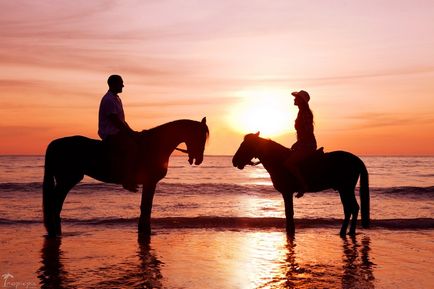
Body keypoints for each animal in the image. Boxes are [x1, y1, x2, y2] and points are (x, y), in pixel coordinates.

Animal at [43, 118, 209, 235]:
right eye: (200, 137)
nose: (199, 159)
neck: (155, 145)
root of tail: (54, 144)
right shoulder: (150, 182)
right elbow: (146, 207)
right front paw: (145, 231)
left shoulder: (150, 183)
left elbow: (145, 207)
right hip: (68, 179)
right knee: (55, 203)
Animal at [232, 133, 368, 236]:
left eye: (245, 145)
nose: (234, 161)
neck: (278, 160)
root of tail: (356, 159)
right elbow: (289, 213)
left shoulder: (287, 192)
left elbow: (289, 213)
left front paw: (290, 231)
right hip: (344, 190)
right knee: (352, 208)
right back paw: (348, 232)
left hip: (346, 189)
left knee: (351, 208)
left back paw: (345, 232)